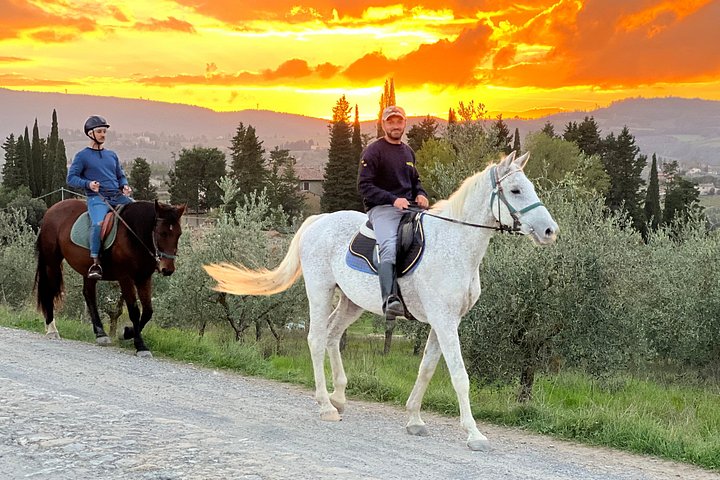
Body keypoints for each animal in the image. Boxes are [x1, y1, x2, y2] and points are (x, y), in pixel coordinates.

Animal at [35, 198, 185, 357]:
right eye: (162, 233)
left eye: (178, 234)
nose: (167, 269)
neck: (133, 234)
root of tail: (52, 209)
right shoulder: (125, 278)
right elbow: (134, 311)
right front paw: (140, 346)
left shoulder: (143, 278)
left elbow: (148, 312)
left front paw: (127, 333)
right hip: (52, 262)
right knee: (49, 291)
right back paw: (52, 329)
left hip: (87, 270)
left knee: (89, 295)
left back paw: (101, 334)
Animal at [204, 152, 558, 450]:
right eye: (515, 191)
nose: (550, 231)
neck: (455, 245)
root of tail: (318, 221)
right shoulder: (444, 322)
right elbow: (460, 376)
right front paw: (474, 434)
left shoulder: (444, 321)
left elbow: (427, 369)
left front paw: (414, 418)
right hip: (320, 289)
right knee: (316, 339)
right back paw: (325, 405)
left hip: (351, 302)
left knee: (332, 336)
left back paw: (339, 397)